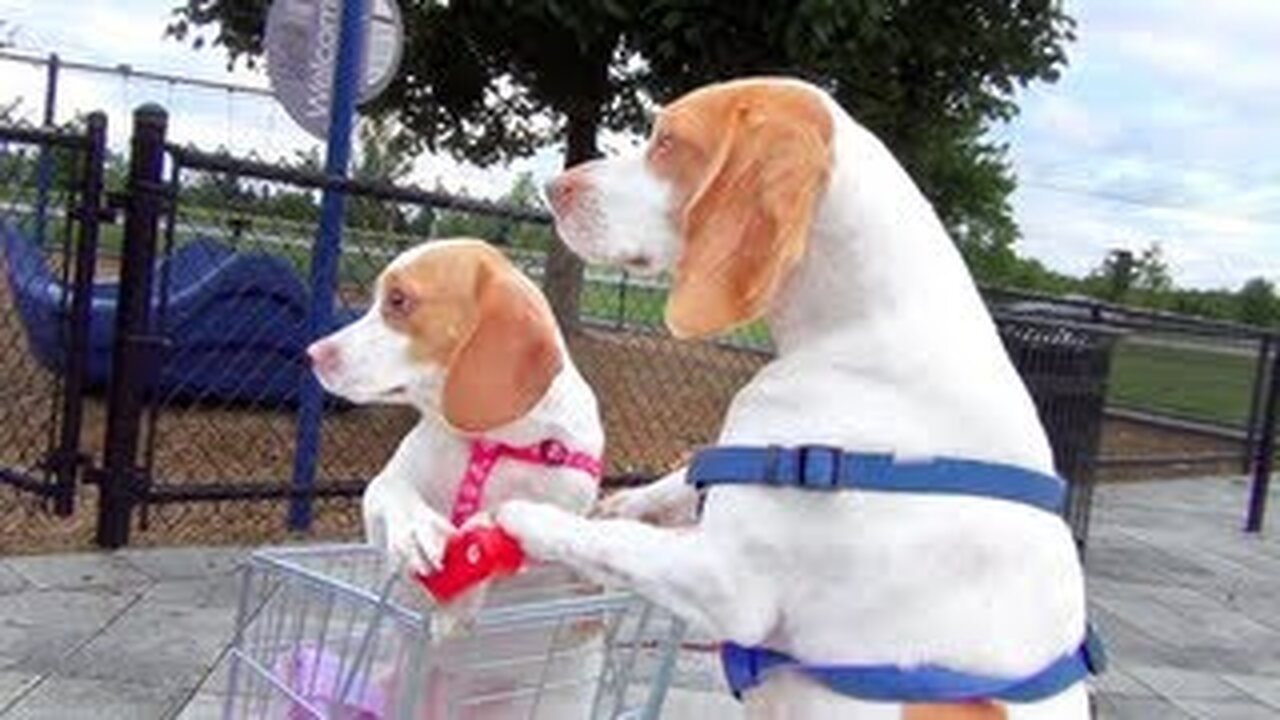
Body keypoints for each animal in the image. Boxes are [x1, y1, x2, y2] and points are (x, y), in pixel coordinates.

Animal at [496, 78, 1100, 717]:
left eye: (668, 142)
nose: (554, 188)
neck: (859, 333)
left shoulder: (729, 584)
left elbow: (612, 541)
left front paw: (525, 516)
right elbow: (681, 478)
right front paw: (629, 500)